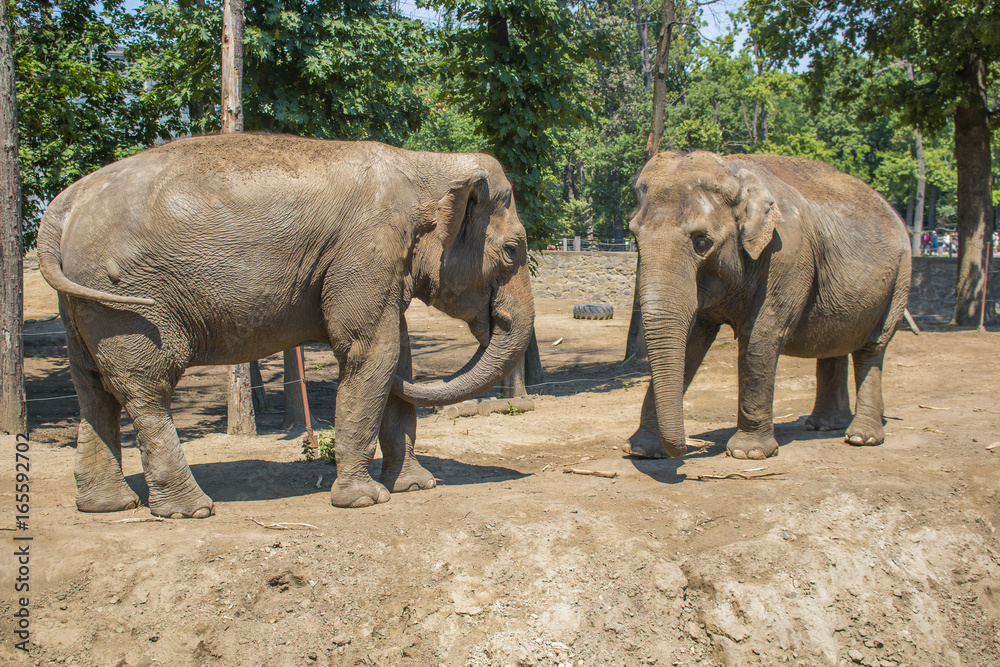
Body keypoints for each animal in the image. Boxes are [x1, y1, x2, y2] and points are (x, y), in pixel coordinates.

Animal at [37, 133, 534, 516]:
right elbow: (373, 350)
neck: (422, 162)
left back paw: (108, 506)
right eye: (512, 251)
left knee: (93, 388)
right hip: (127, 303)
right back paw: (189, 510)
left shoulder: (381, 265)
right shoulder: (367, 248)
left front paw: (416, 486)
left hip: (81, 300)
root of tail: (63, 205)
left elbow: (398, 355)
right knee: (145, 386)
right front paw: (365, 500)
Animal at [623, 151, 910, 461]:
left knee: (872, 348)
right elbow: (691, 341)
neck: (733, 170)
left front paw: (748, 453)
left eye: (702, 242)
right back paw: (824, 425)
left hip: (899, 278)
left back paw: (861, 437)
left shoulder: (786, 256)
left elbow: (760, 336)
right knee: (833, 343)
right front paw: (641, 450)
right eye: (635, 239)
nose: (689, 446)